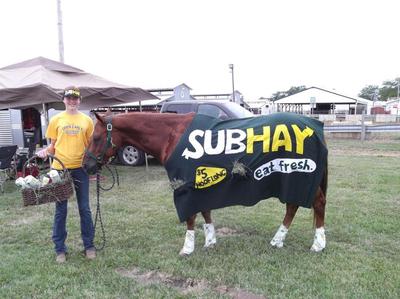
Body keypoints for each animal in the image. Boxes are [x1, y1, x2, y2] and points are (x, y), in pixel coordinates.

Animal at [83, 111, 326, 256]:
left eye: (95, 138)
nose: (86, 165)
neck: (171, 135)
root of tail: (315, 124)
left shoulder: (185, 185)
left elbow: (191, 216)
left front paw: (187, 247)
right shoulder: (201, 184)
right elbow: (205, 210)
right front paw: (210, 240)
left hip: (301, 177)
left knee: (316, 204)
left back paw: (318, 243)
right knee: (292, 206)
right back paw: (278, 240)